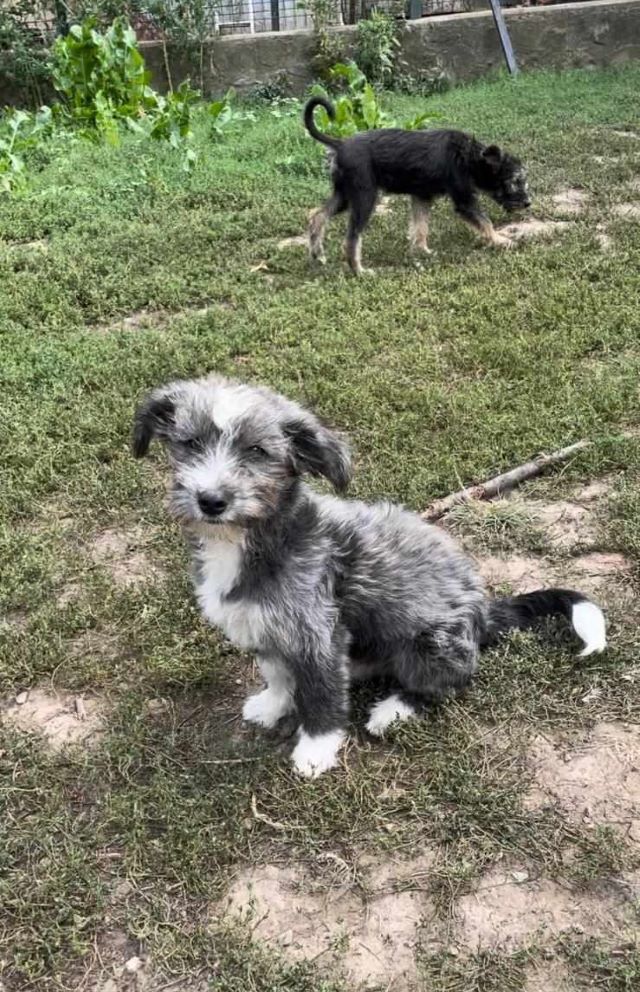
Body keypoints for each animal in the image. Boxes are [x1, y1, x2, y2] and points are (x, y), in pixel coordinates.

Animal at [134, 376, 604, 780]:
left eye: (257, 451)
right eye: (190, 443)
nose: (210, 500)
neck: (254, 540)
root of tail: (485, 614)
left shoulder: (318, 634)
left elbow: (321, 697)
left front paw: (315, 751)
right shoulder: (261, 624)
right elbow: (278, 673)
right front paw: (272, 705)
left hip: (432, 644)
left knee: (448, 684)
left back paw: (392, 711)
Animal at [304, 95, 528, 274]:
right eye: (515, 181)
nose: (528, 203)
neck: (470, 156)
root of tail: (340, 144)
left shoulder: (422, 196)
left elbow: (420, 227)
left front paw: (423, 251)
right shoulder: (464, 201)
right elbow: (486, 222)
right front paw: (500, 240)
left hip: (344, 195)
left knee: (317, 215)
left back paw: (318, 254)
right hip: (364, 197)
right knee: (351, 237)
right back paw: (359, 270)